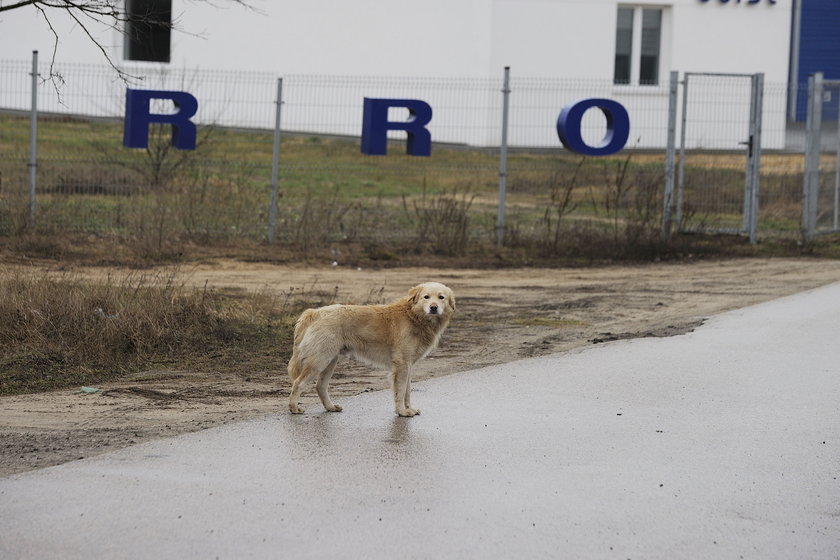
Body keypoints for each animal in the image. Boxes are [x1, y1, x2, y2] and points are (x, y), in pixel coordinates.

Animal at [290, 284, 460, 416]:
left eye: (441, 297)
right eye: (426, 297)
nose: (433, 307)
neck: (414, 316)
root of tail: (315, 312)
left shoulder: (408, 365)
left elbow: (407, 391)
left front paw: (408, 409)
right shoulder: (402, 364)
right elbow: (400, 391)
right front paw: (402, 411)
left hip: (330, 360)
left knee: (320, 386)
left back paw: (330, 407)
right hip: (320, 360)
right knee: (298, 383)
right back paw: (293, 408)